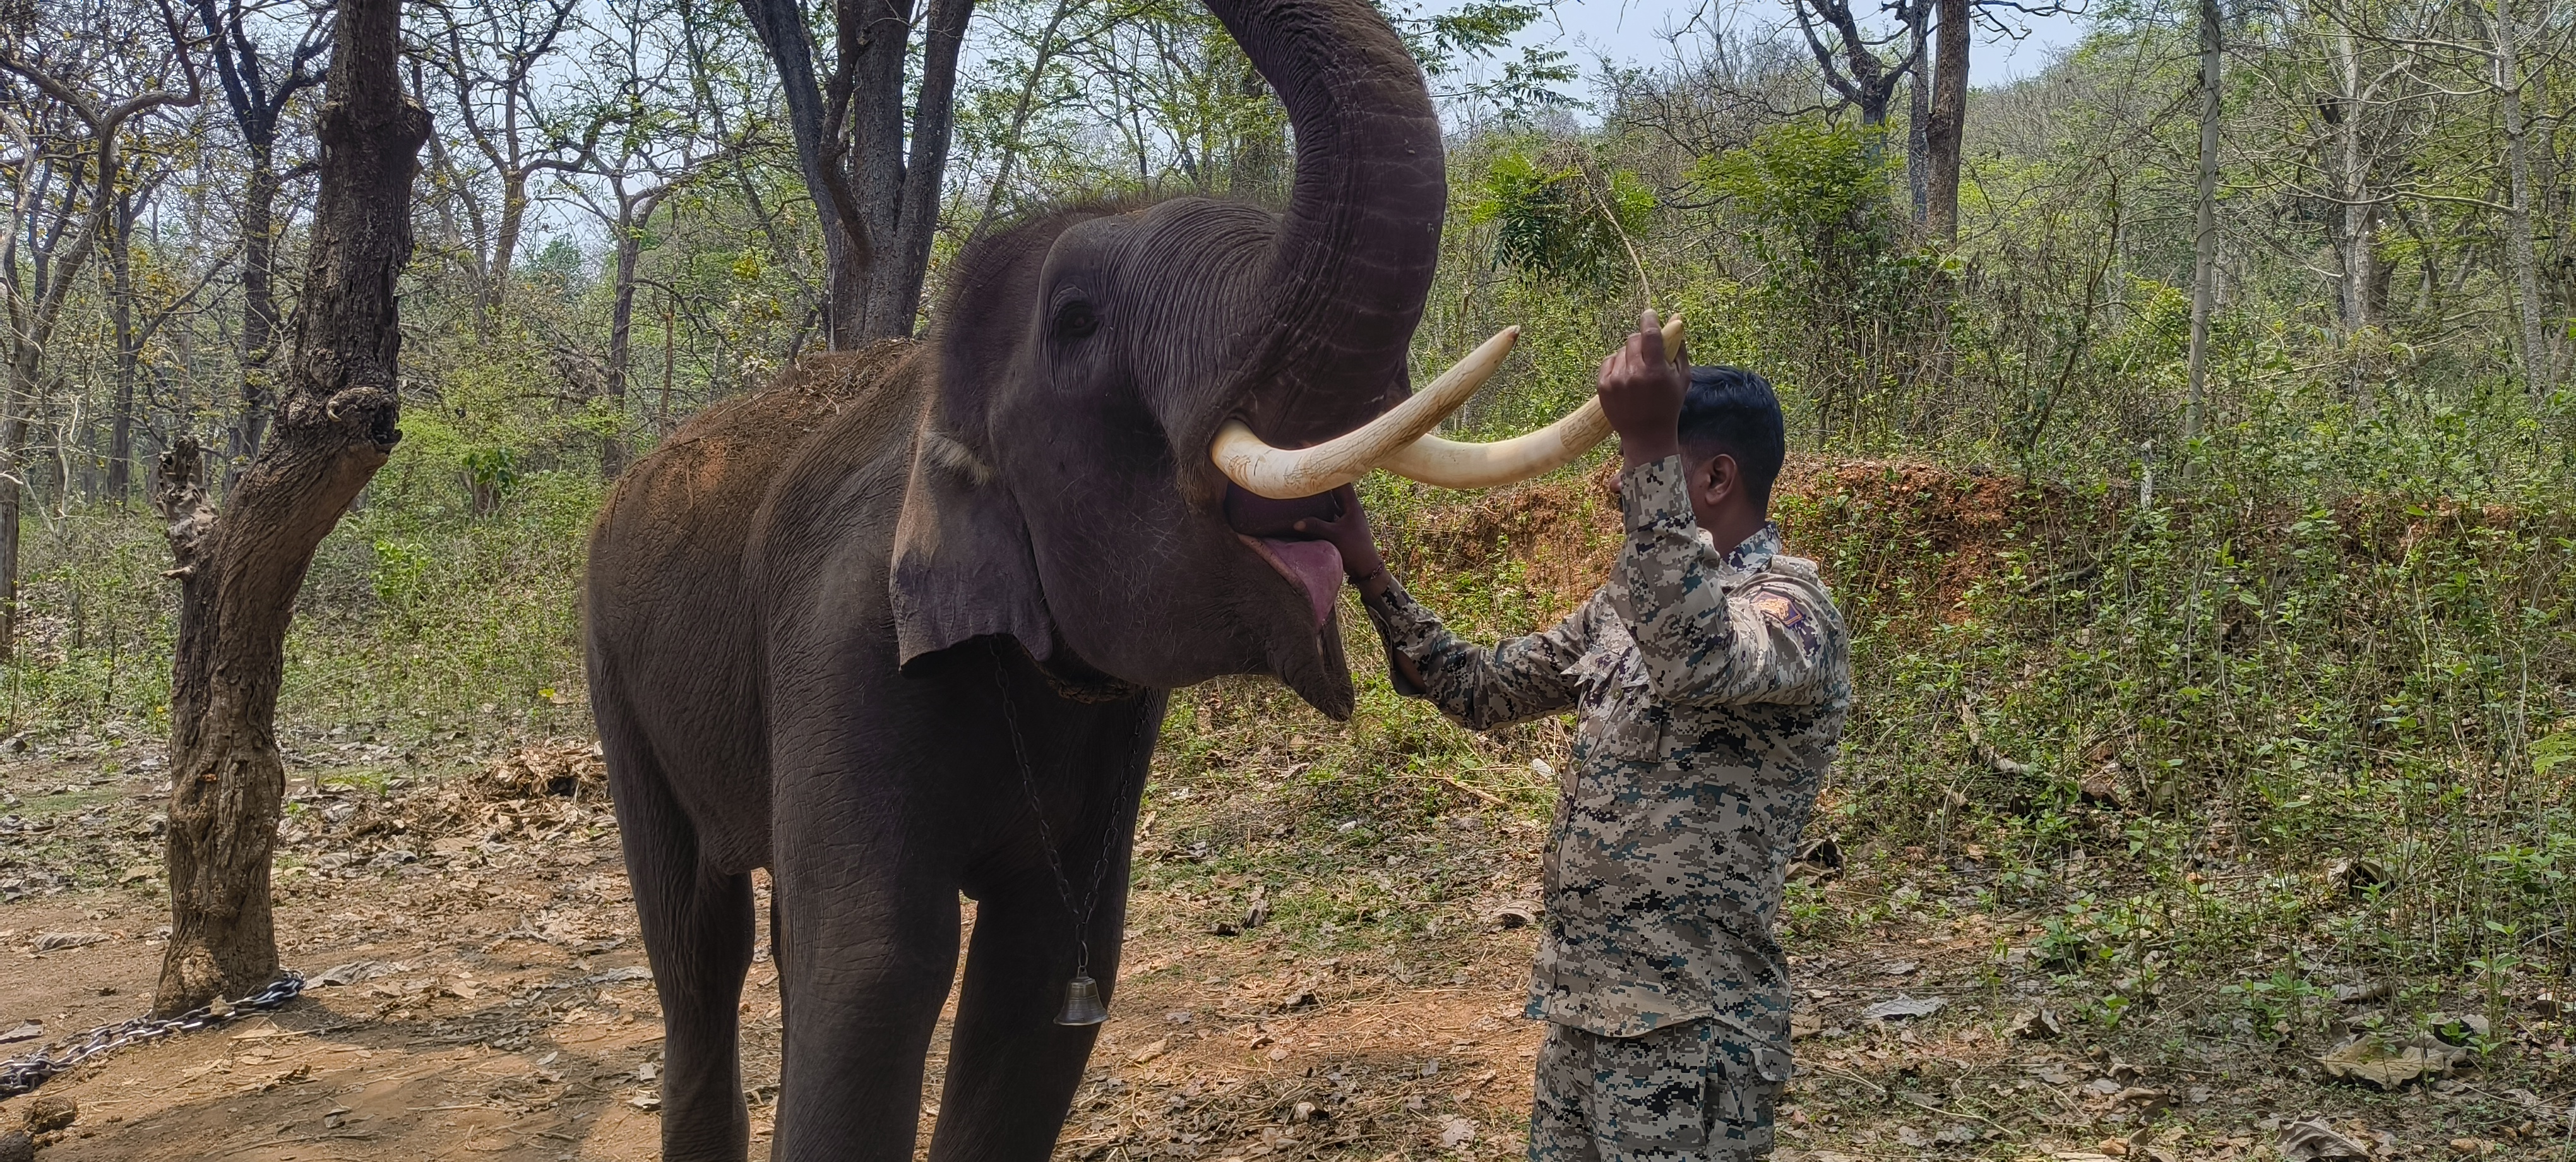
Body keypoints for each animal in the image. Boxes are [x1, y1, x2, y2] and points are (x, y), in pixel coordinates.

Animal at [581, 0, 1611, 1157]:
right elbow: (879, 963)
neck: (938, 399)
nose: (1350, 547)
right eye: (1076, 321)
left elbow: (1042, 969)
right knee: (697, 952)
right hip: (611, 678)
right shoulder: (840, 644)